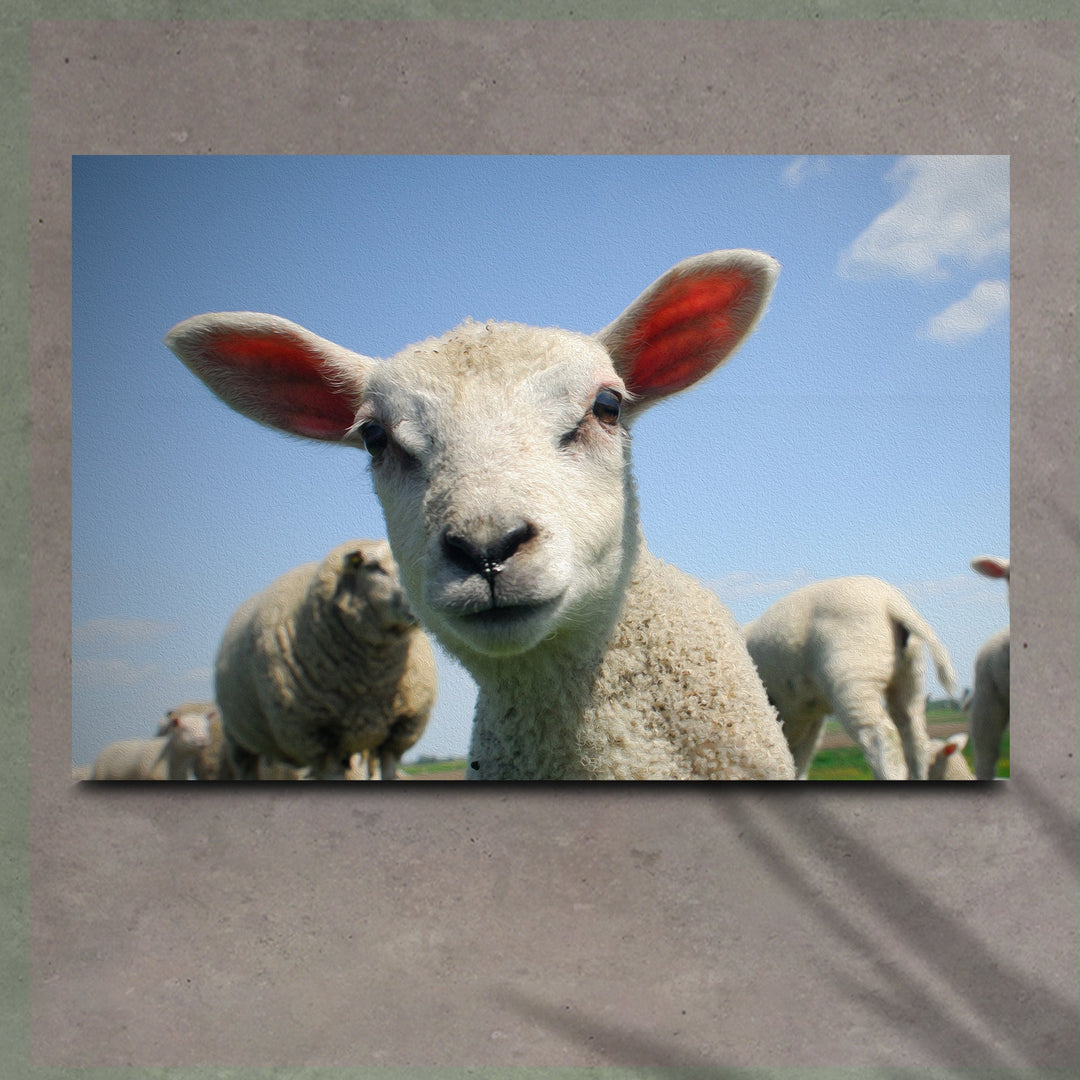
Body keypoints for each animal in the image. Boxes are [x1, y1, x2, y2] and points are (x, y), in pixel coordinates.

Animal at [208, 539, 436, 780]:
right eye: (374, 567)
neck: (372, 681)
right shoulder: (319, 737)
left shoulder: (399, 730)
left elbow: (389, 773)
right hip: (236, 737)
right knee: (246, 768)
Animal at [742, 576, 957, 780]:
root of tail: (891, 601)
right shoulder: (807, 722)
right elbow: (798, 763)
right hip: (909, 675)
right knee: (915, 739)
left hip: (853, 677)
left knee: (881, 737)